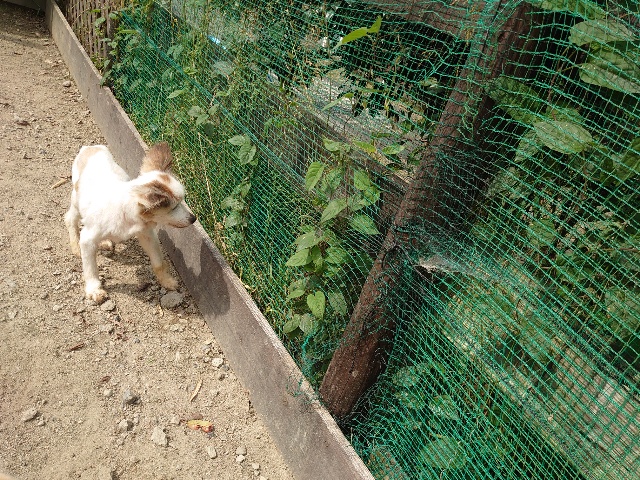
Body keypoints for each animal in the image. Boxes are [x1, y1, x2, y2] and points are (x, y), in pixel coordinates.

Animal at [64, 142, 196, 303]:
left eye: (182, 201)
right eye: (174, 207)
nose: (193, 218)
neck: (126, 214)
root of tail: (91, 147)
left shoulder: (147, 235)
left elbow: (158, 262)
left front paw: (166, 280)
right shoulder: (88, 239)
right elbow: (91, 269)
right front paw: (94, 290)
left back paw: (105, 242)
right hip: (76, 202)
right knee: (70, 218)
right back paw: (75, 246)